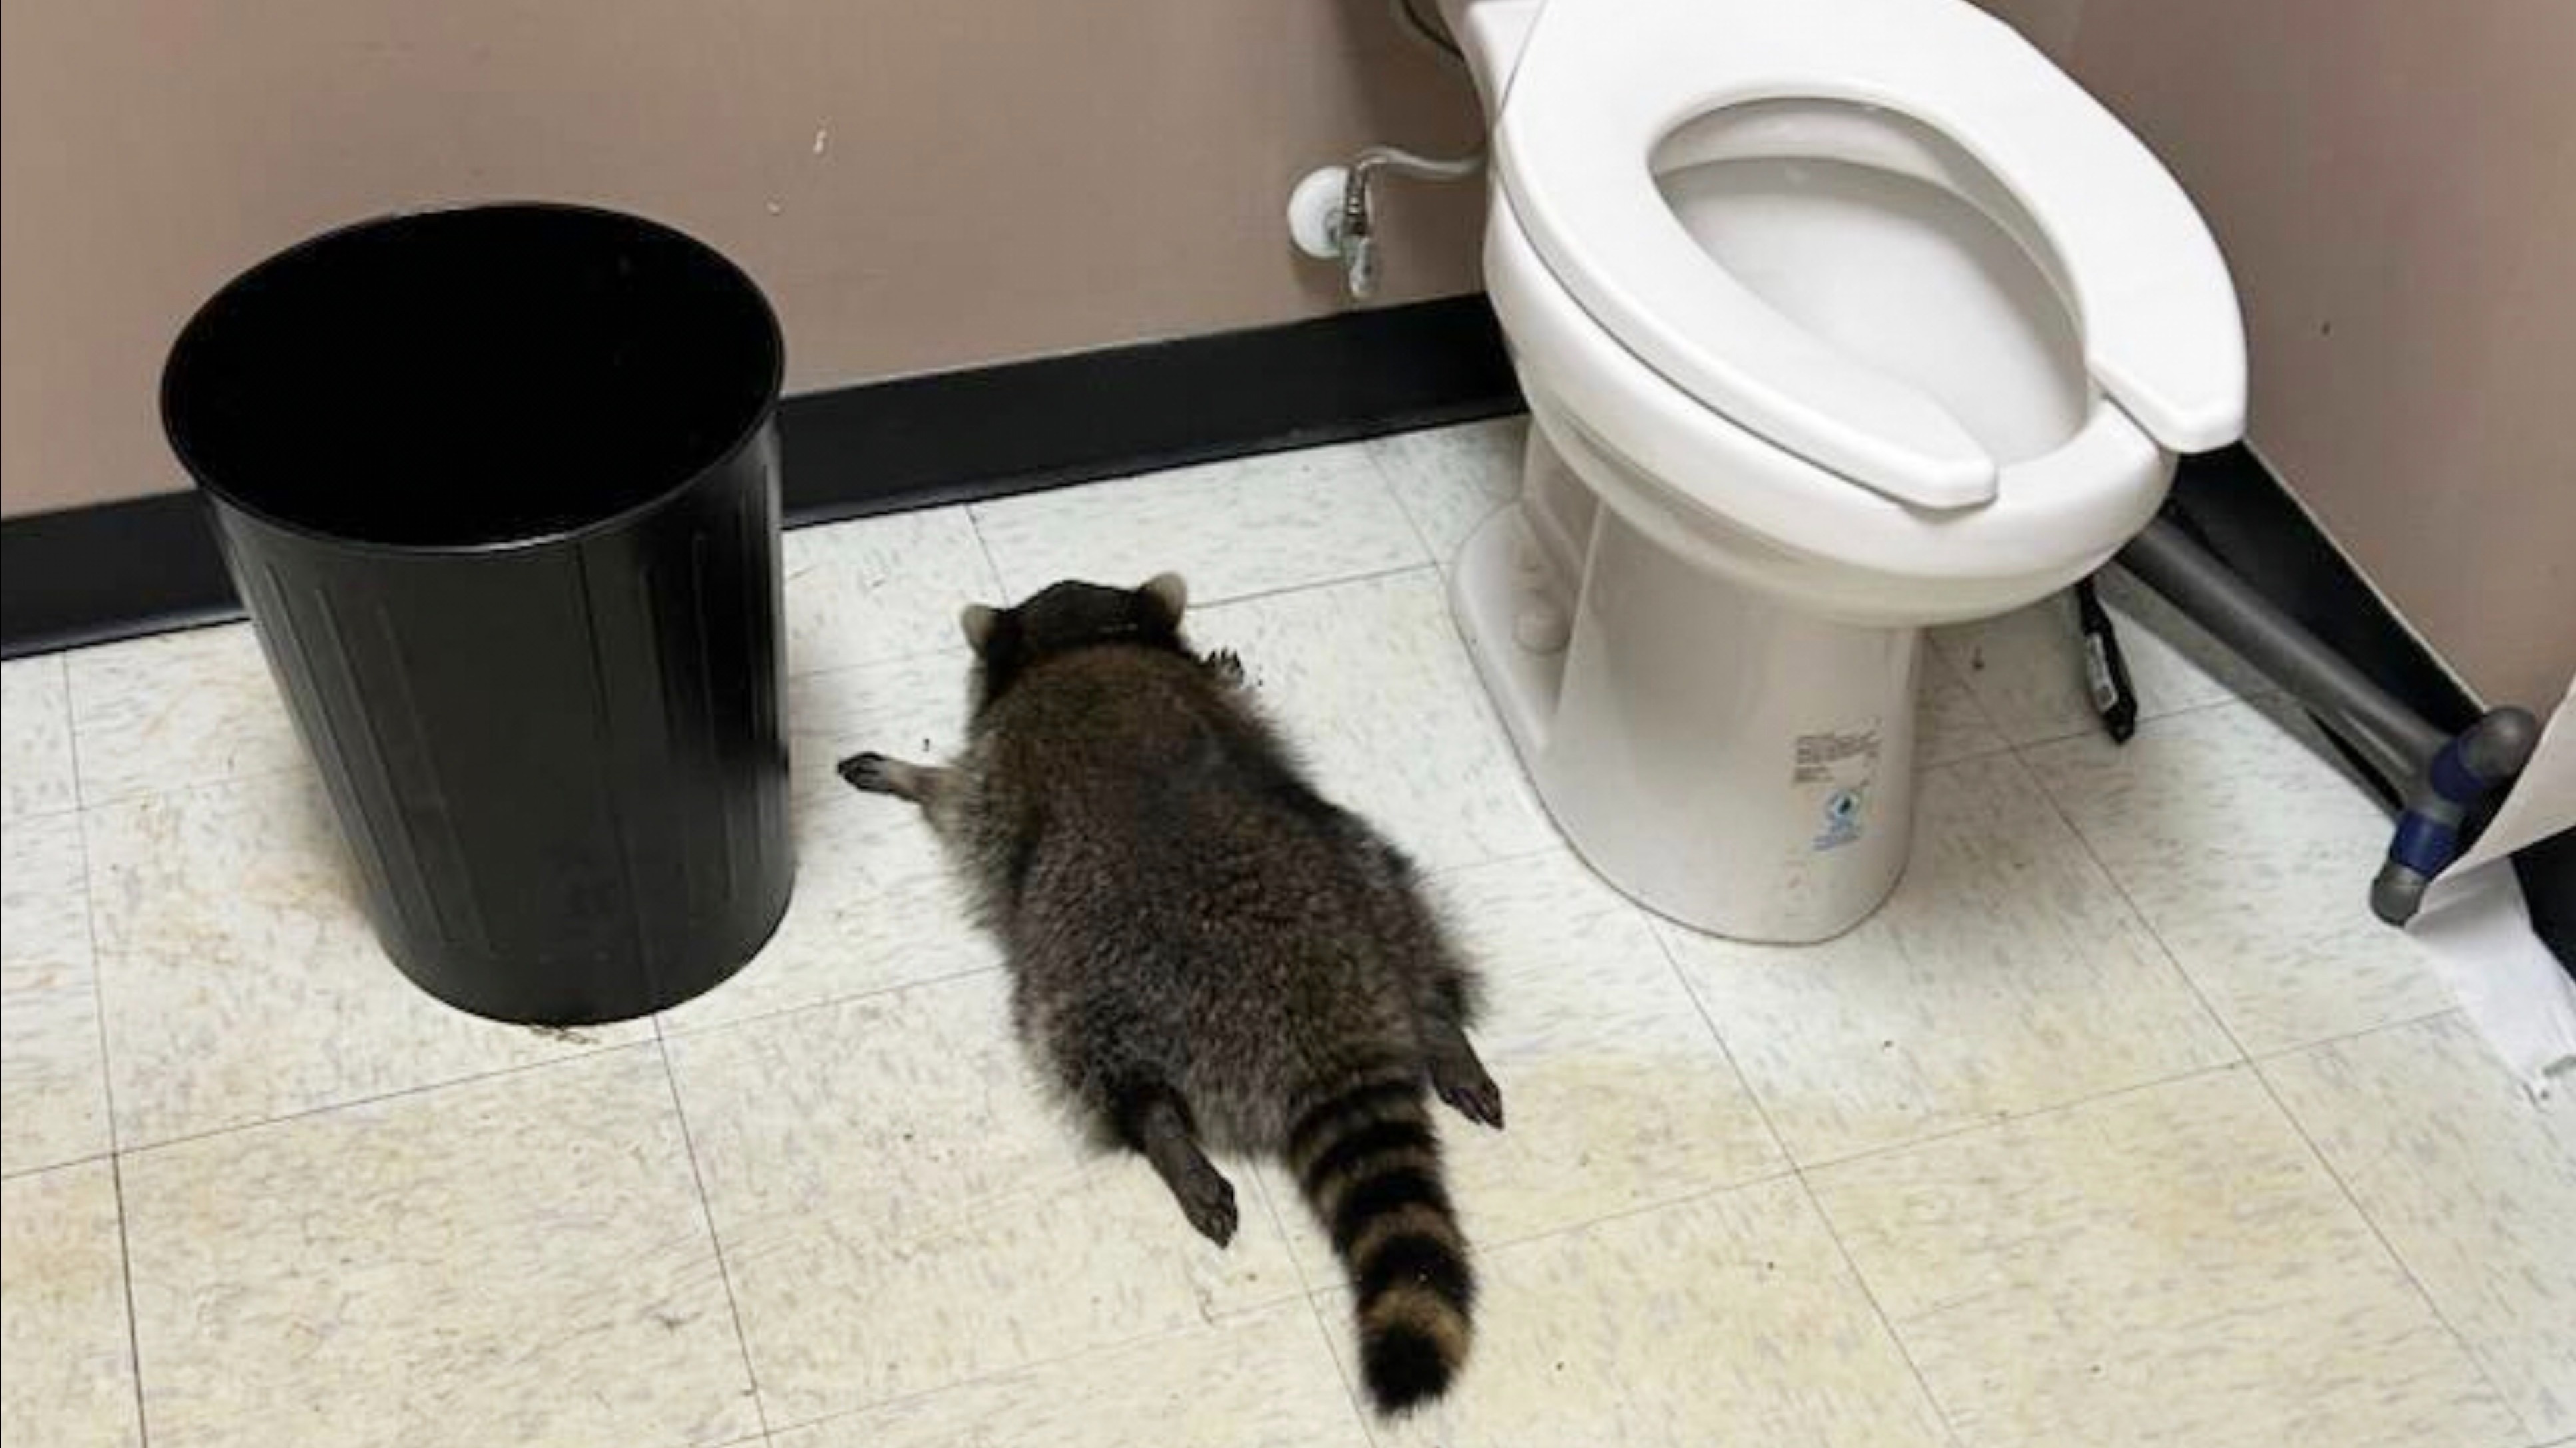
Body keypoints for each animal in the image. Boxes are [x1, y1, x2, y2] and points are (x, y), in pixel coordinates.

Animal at [837, 572, 1503, 1414]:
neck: (1085, 642)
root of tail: (1327, 1019)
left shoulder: (997, 772)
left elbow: (956, 798)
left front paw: (910, 775)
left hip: (1096, 971)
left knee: (1085, 1050)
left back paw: (1161, 1129)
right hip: (1368, 874)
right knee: (1408, 914)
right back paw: (1441, 1022)